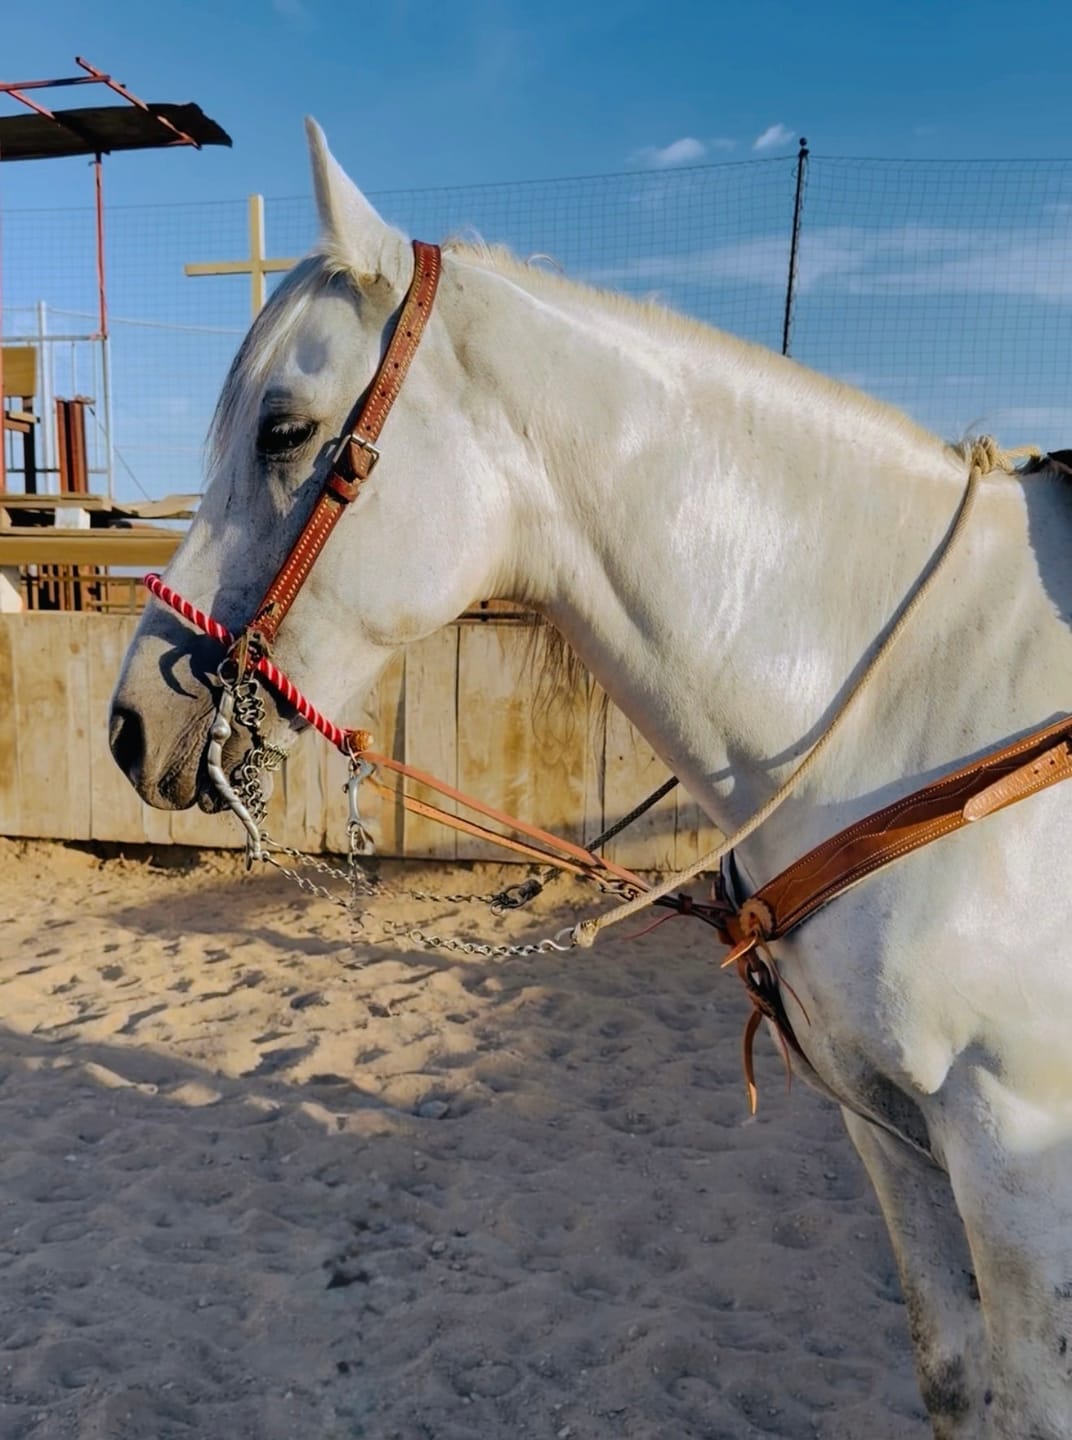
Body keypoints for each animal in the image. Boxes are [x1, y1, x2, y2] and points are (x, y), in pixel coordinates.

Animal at [109, 120, 1072, 1439]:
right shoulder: (894, 1131)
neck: (930, 702)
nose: (129, 724)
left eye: (284, 431)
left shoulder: (1010, 1154)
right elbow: (952, 1379)